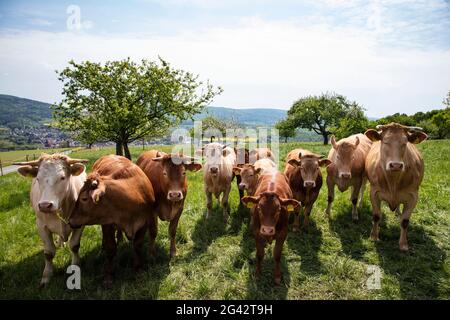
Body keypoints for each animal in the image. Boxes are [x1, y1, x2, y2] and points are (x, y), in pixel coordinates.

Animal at [14, 153, 88, 288]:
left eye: (63, 177)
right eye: (38, 178)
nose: (44, 205)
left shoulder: (80, 223)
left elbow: (74, 246)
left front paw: (75, 266)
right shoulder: (41, 226)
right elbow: (48, 253)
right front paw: (46, 276)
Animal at [68, 155, 156, 288]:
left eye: (84, 198)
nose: (70, 220)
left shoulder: (144, 223)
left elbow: (137, 245)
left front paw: (138, 269)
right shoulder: (107, 224)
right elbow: (111, 248)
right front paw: (109, 275)